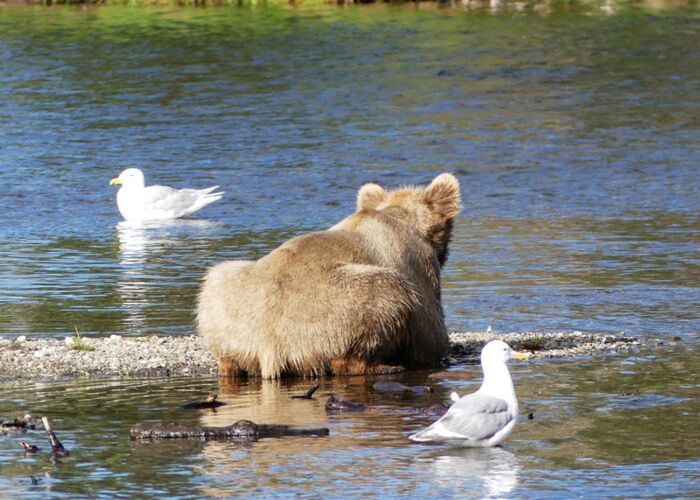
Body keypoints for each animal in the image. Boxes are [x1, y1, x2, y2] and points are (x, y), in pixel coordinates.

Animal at [197, 173, 461, 379]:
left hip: (227, 305)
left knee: (217, 282)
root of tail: (269, 345)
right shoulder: (417, 267)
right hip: (334, 307)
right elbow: (430, 335)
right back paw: (385, 366)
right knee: (386, 295)